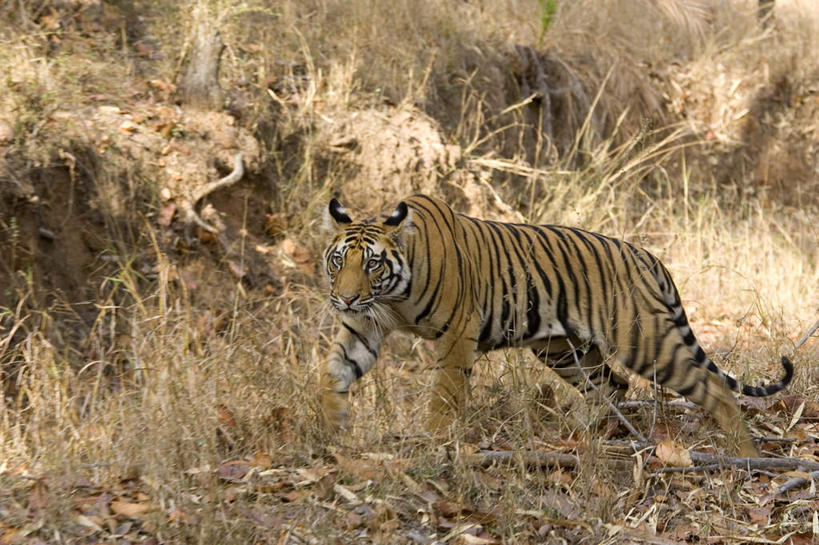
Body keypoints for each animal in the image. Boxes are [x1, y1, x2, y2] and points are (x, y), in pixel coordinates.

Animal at [320, 193, 796, 456]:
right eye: (339, 261)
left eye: (373, 264)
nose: (345, 298)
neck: (390, 295)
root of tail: (648, 256)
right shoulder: (364, 326)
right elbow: (335, 372)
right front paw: (332, 431)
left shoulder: (457, 332)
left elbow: (445, 394)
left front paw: (436, 440)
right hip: (564, 349)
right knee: (613, 385)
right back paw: (585, 434)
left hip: (642, 339)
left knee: (713, 388)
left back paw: (747, 454)